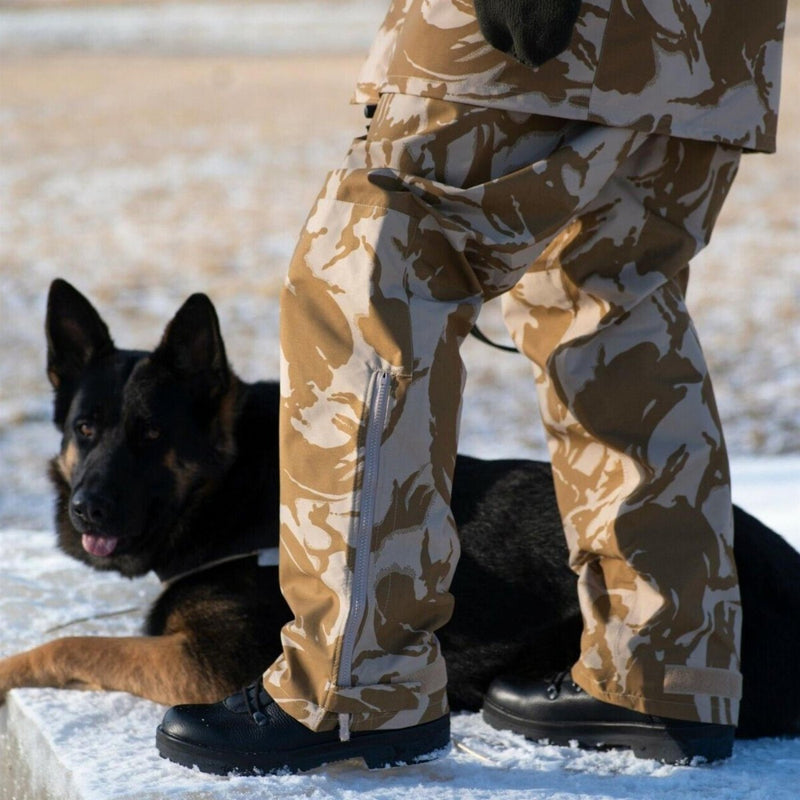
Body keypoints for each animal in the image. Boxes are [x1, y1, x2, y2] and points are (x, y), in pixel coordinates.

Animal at [1, 280, 800, 736]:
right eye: (86, 430)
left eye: (151, 438)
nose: (85, 510)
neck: (238, 490)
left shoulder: (207, 665)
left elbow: (73, 645)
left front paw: (9, 666)